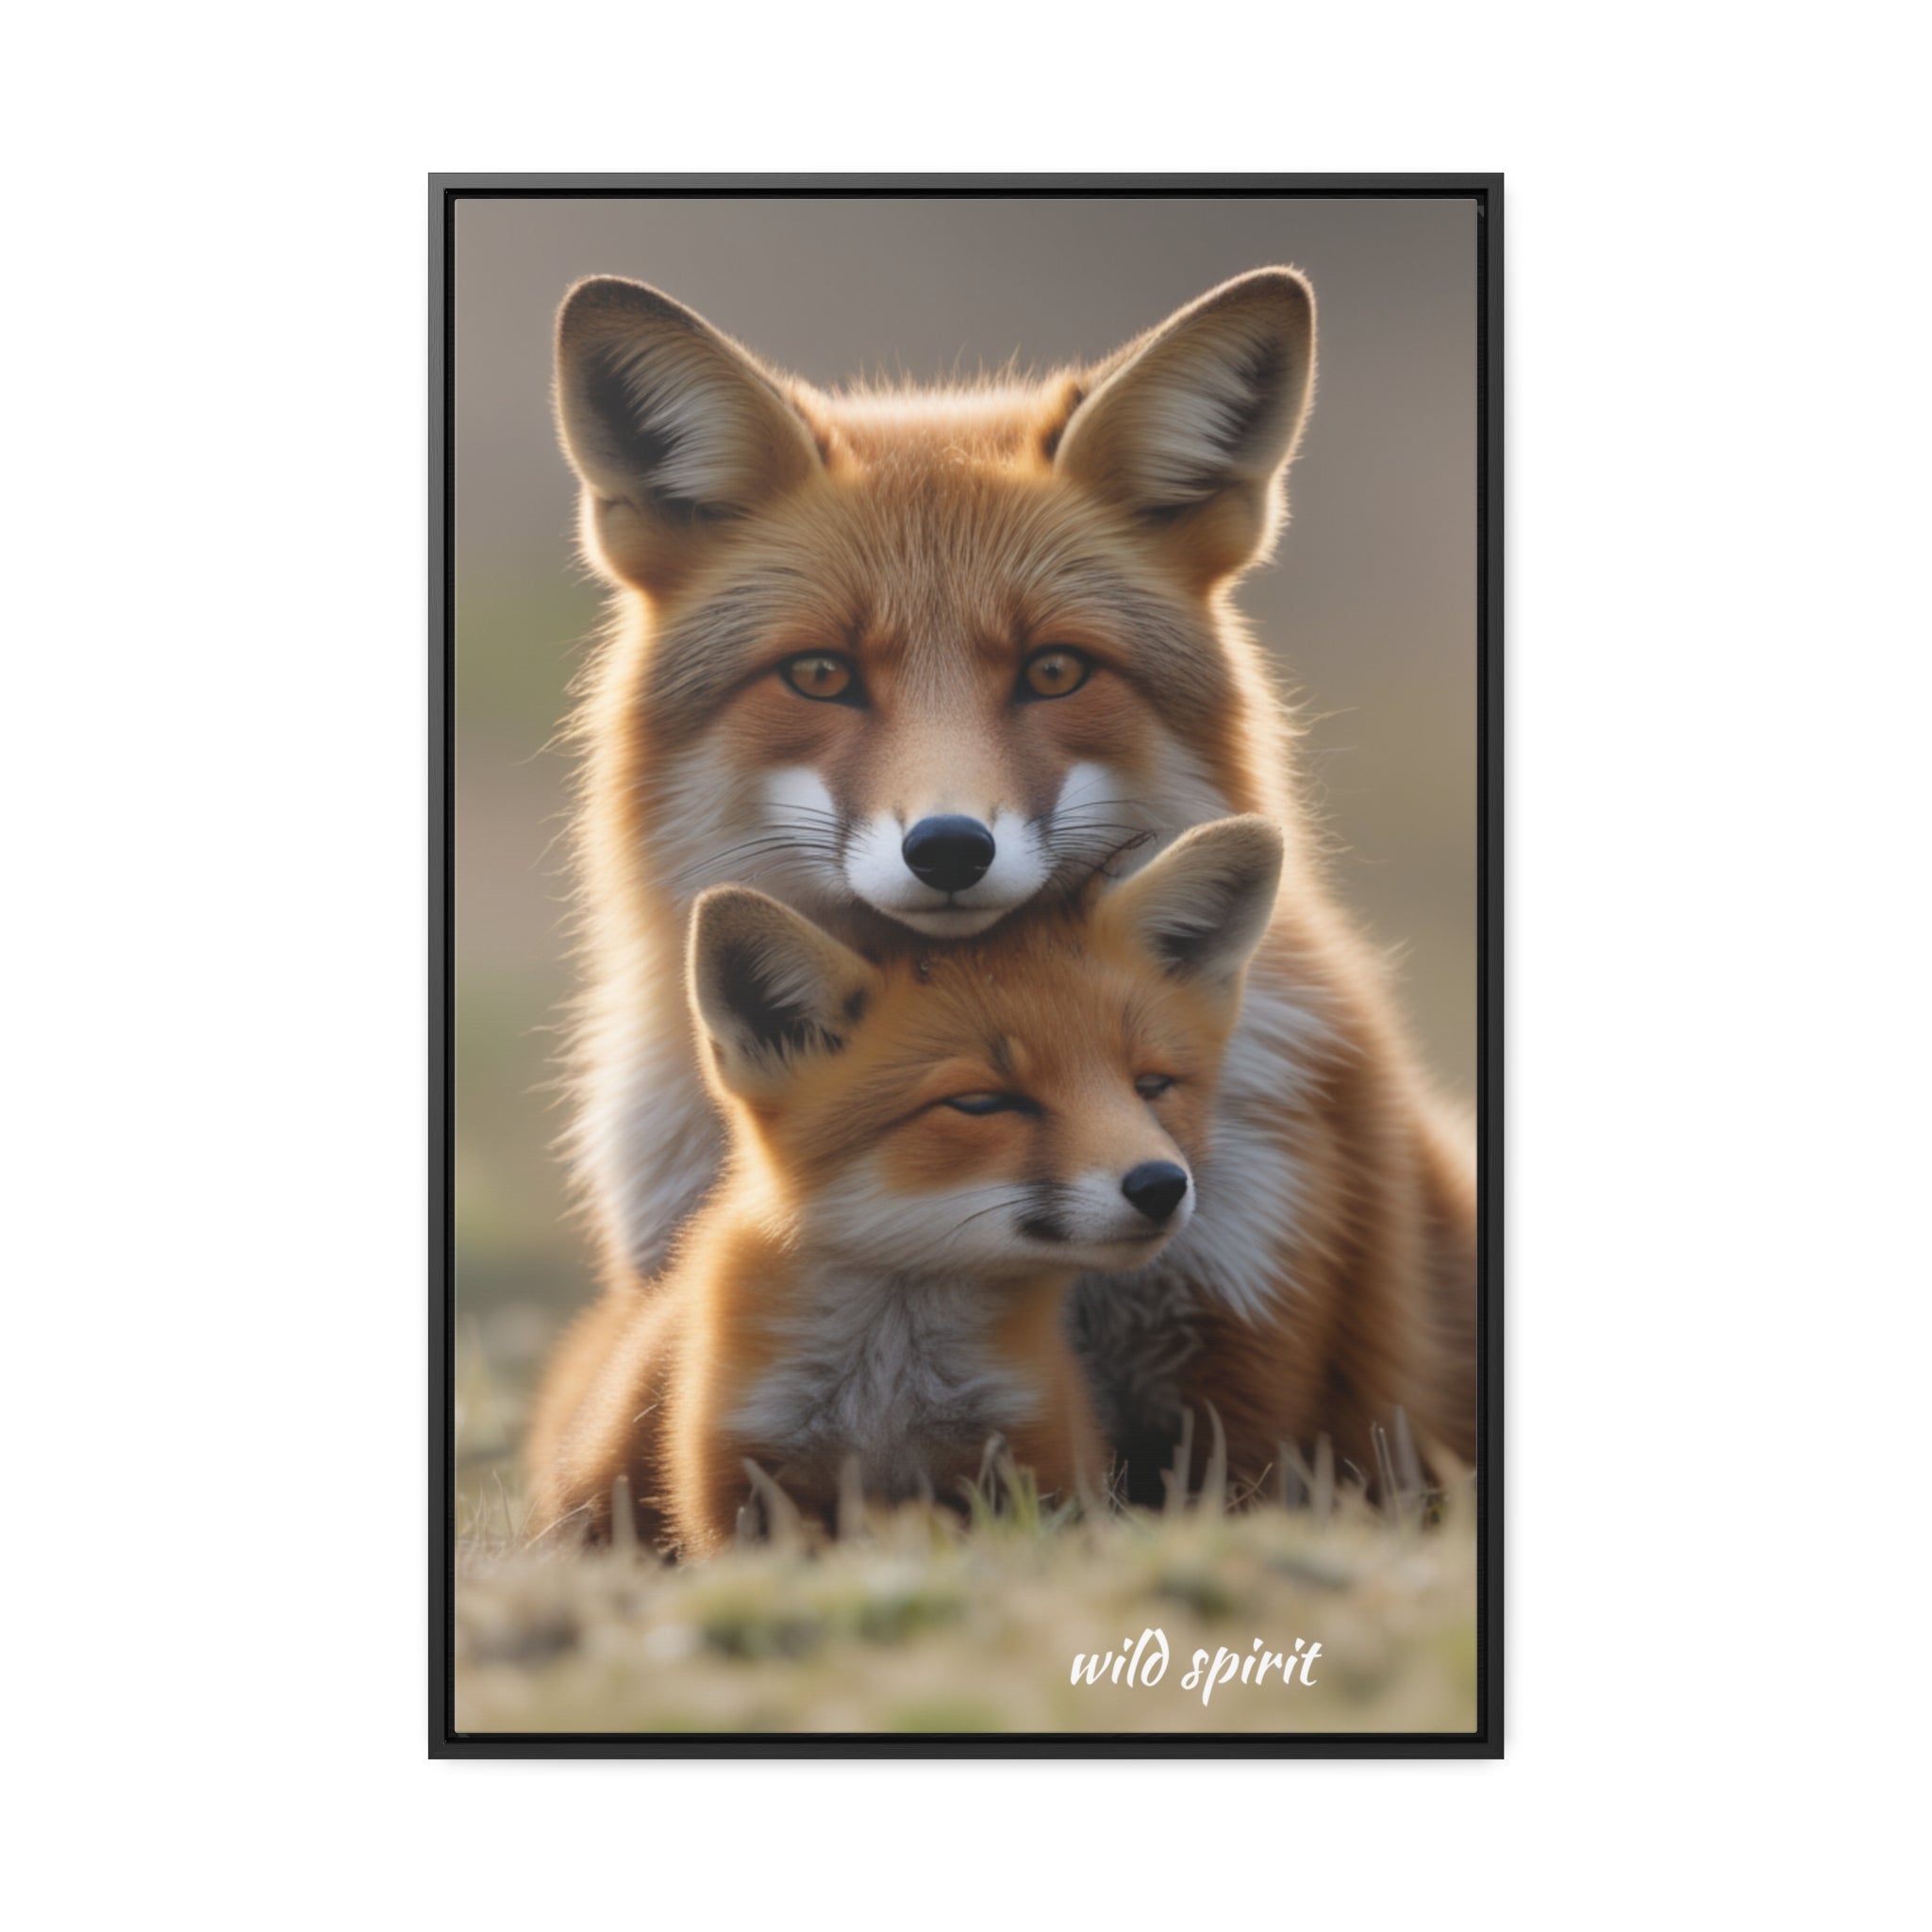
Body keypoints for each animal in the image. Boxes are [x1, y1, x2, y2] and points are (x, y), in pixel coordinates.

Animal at [525, 818, 1284, 1554]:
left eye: (1151, 1086)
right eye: (982, 1103)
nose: (1161, 1185)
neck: (888, 1392)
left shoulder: (1037, 1460)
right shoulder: (738, 1481)